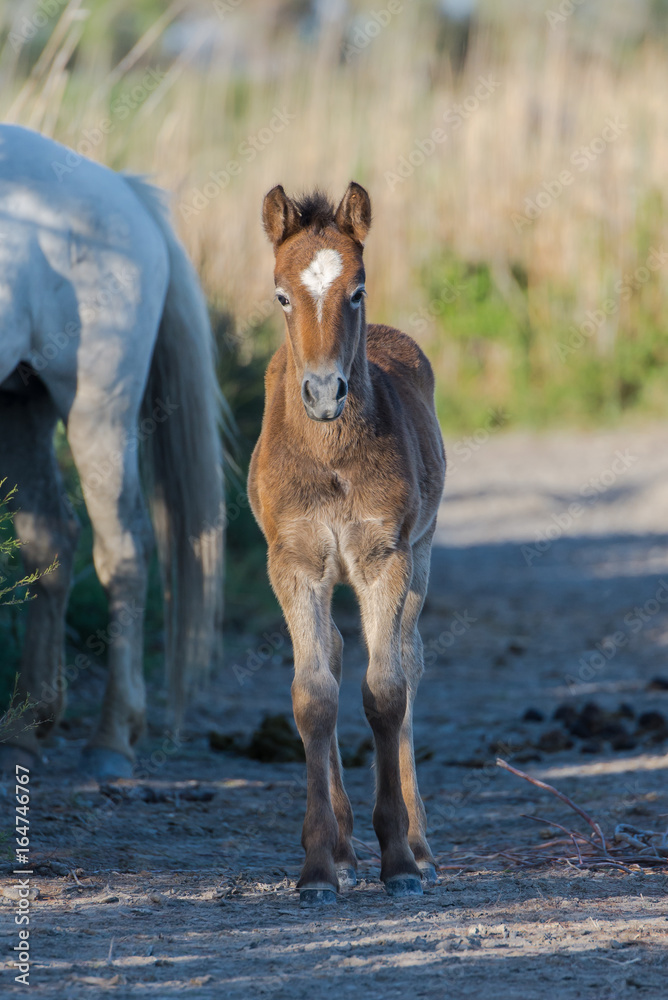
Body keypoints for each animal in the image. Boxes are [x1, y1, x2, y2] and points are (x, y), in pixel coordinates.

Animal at [0, 125, 225, 780]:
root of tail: (122, 191)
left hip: (98, 409)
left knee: (123, 551)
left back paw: (111, 742)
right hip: (19, 402)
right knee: (51, 541)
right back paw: (23, 732)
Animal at [248, 182, 446, 903]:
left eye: (357, 290)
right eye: (281, 295)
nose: (325, 391)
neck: (330, 456)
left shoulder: (383, 559)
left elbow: (385, 693)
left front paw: (399, 861)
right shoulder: (294, 566)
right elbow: (316, 696)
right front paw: (316, 868)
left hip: (422, 555)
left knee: (411, 663)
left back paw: (419, 848)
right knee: (332, 653)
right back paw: (343, 848)